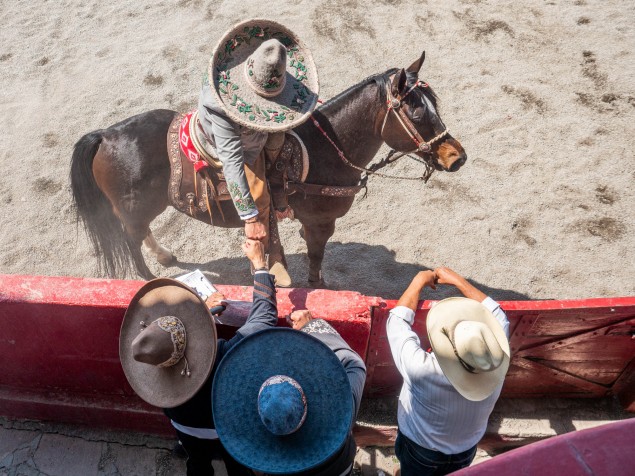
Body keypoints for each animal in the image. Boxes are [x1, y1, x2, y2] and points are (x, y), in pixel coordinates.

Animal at [71, 51, 468, 286]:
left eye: (434, 104)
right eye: (417, 112)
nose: (457, 157)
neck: (325, 149)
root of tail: (106, 135)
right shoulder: (321, 222)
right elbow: (316, 259)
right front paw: (319, 287)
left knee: (141, 234)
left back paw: (165, 255)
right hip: (135, 209)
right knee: (131, 239)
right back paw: (147, 276)